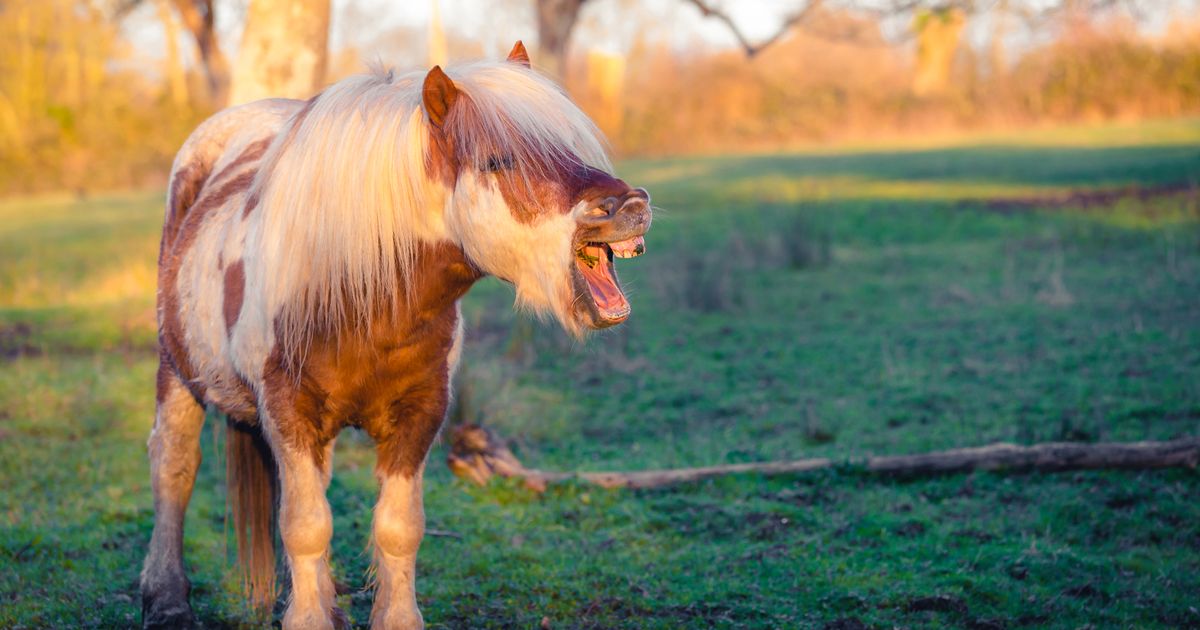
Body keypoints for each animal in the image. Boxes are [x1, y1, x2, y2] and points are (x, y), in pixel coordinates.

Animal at [140, 41, 652, 629]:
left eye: (570, 145)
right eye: (498, 161)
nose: (631, 207)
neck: (360, 298)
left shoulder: (420, 413)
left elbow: (397, 528)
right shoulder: (287, 410)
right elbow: (305, 525)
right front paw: (307, 618)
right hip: (178, 371)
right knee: (174, 466)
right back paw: (167, 599)